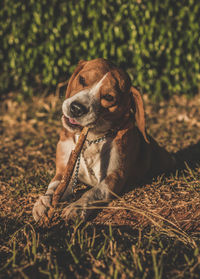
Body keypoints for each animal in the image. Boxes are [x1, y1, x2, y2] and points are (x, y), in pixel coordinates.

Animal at [32, 58, 175, 223]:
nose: (76, 108)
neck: (91, 139)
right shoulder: (63, 171)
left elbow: (93, 192)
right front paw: (44, 202)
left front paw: (77, 207)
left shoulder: (114, 178)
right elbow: (54, 187)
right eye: (82, 79)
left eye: (109, 97)